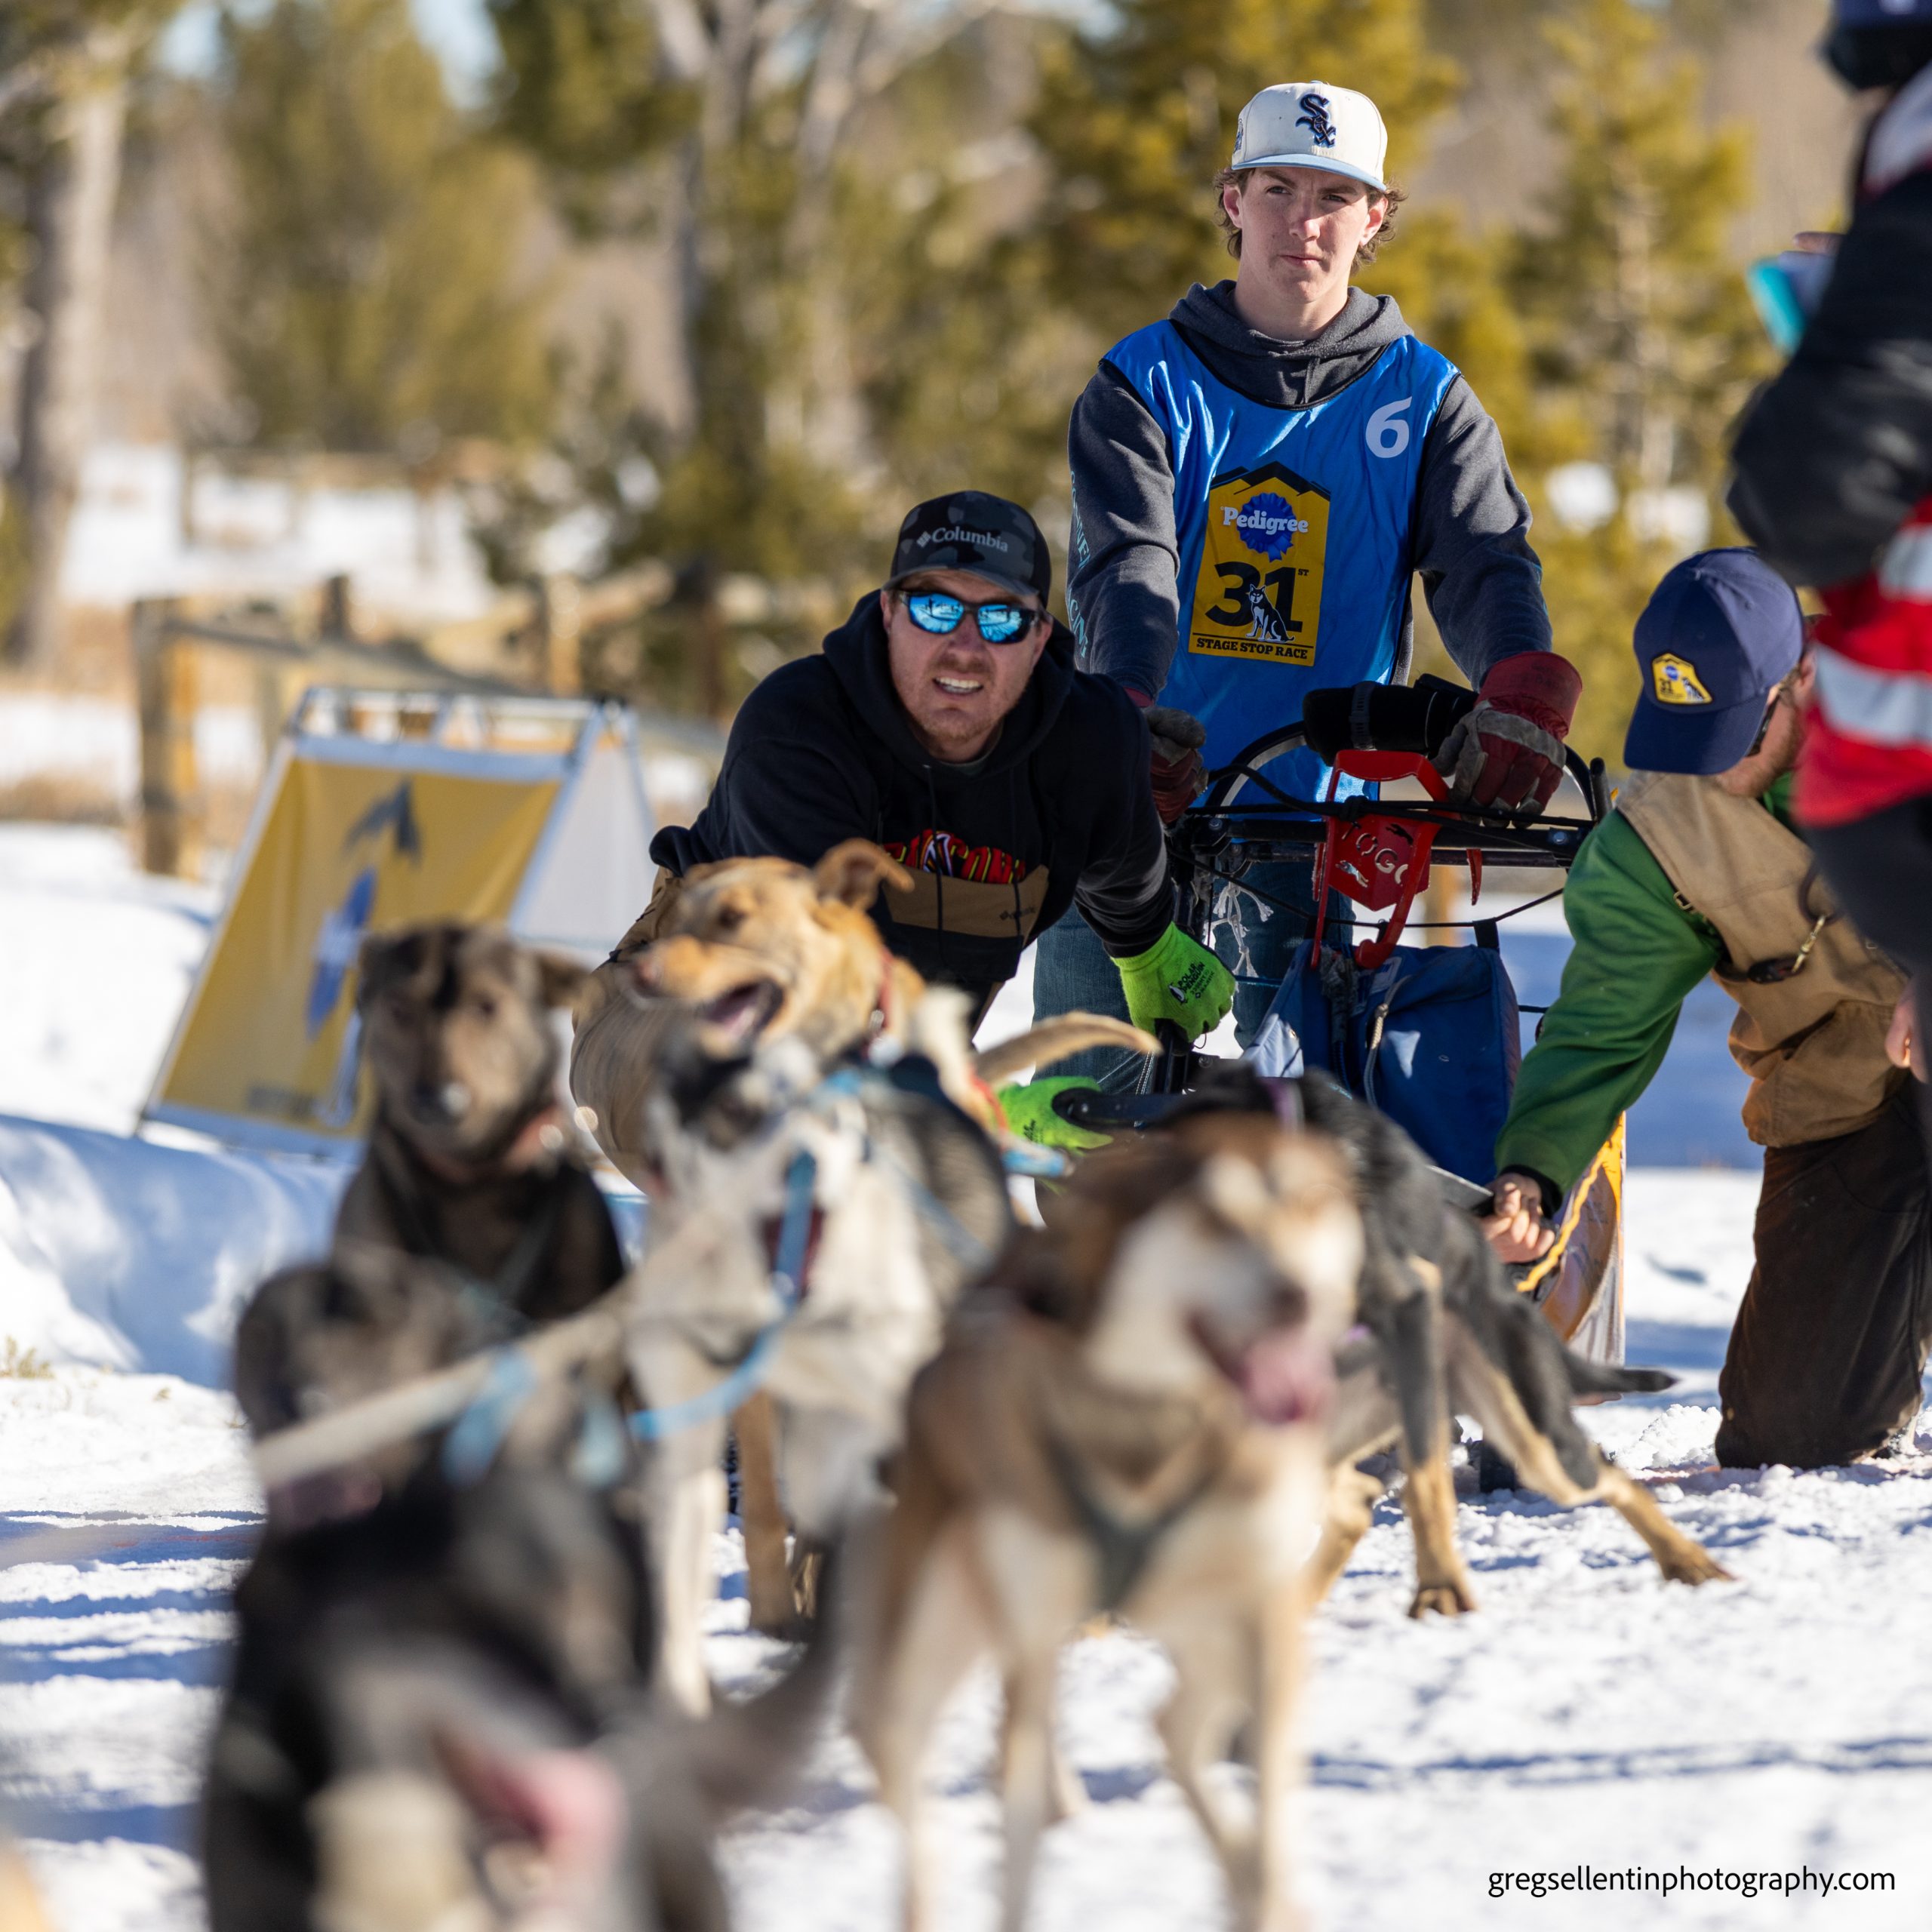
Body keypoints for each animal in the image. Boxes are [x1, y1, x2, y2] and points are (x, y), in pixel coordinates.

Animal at [852, 1112, 1363, 1932]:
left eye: (1308, 1206)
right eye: (1213, 1216)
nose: (1298, 1295)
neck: (1152, 1427)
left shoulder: (1262, 1616)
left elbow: (1272, 1814)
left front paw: (1265, 1887)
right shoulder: (1033, 1636)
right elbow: (1018, 1840)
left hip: (1212, 1637)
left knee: (1175, 1728)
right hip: (922, 1659)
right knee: (909, 1794)